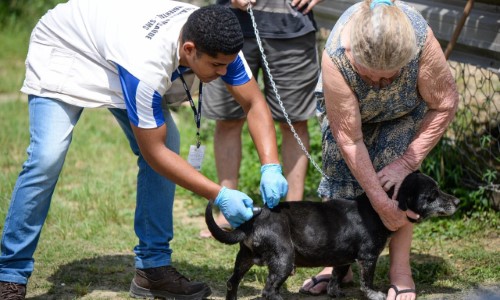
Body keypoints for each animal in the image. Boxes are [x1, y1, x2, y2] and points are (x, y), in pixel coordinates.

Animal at [205, 172, 458, 298]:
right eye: (433, 194)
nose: (456, 201)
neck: (375, 210)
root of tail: (252, 220)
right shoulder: (368, 257)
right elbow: (367, 282)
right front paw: (375, 295)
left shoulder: (342, 259)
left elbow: (336, 278)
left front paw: (335, 293)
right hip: (284, 258)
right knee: (268, 291)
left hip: (244, 258)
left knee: (231, 283)